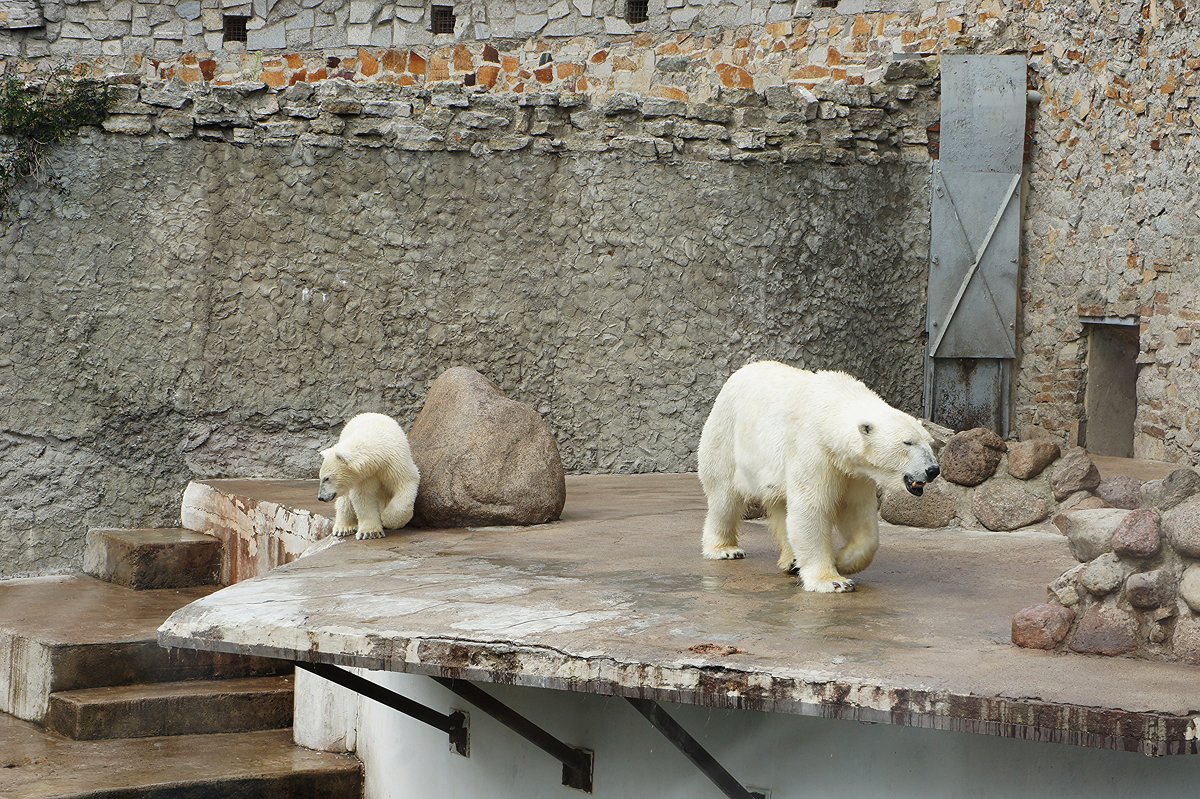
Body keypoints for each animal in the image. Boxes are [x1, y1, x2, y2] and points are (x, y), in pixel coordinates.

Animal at [700, 362, 940, 590]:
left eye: (929, 442)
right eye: (908, 442)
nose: (933, 470)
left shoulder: (853, 473)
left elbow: (857, 513)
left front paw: (842, 561)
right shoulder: (814, 450)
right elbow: (811, 509)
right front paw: (833, 581)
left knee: (780, 504)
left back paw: (792, 561)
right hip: (726, 433)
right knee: (724, 496)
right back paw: (725, 549)